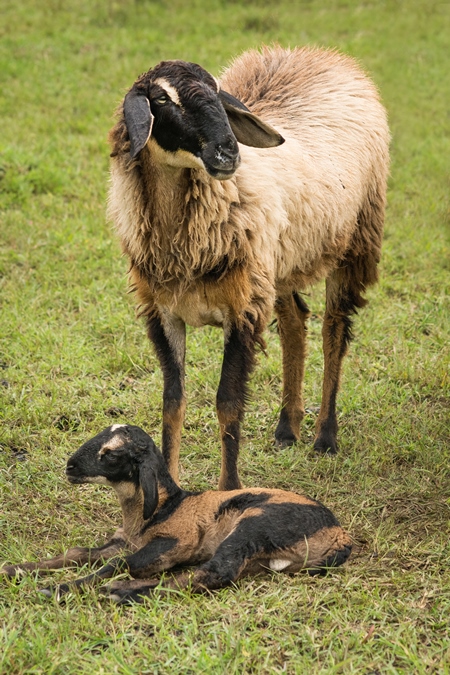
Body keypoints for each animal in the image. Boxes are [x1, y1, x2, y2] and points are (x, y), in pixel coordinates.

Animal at [0, 426, 352, 604]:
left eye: (111, 454)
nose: (70, 466)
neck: (160, 509)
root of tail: (341, 537)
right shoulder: (123, 542)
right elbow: (78, 553)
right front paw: (15, 569)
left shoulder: (173, 543)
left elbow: (119, 564)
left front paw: (57, 589)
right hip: (261, 559)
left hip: (255, 526)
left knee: (212, 573)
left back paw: (120, 592)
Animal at [107, 46, 388, 492]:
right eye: (162, 98)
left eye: (217, 92)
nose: (229, 152)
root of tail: (320, 54)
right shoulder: (165, 313)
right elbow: (173, 401)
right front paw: (170, 488)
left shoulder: (241, 310)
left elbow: (227, 402)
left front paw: (229, 490)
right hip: (278, 266)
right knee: (294, 322)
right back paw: (287, 428)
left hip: (354, 241)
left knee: (334, 332)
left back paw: (325, 436)